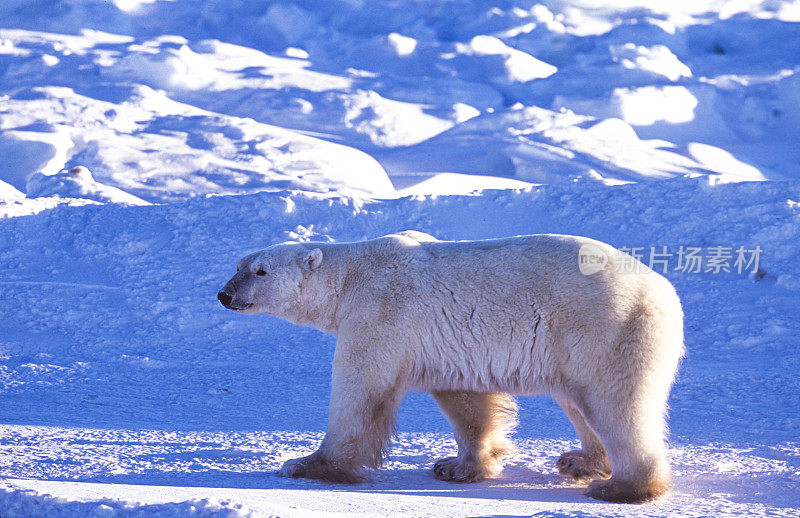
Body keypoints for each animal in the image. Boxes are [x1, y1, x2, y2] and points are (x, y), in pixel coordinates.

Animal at [217, 233, 680, 504]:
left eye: (260, 270)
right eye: (238, 265)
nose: (224, 294)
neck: (352, 277)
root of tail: (662, 292)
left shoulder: (382, 314)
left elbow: (360, 390)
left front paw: (308, 465)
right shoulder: (447, 345)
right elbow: (466, 401)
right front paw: (457, 467)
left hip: (601, 328)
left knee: (615, 403)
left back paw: (622, 487)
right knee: (578, 401)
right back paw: (580, 460)